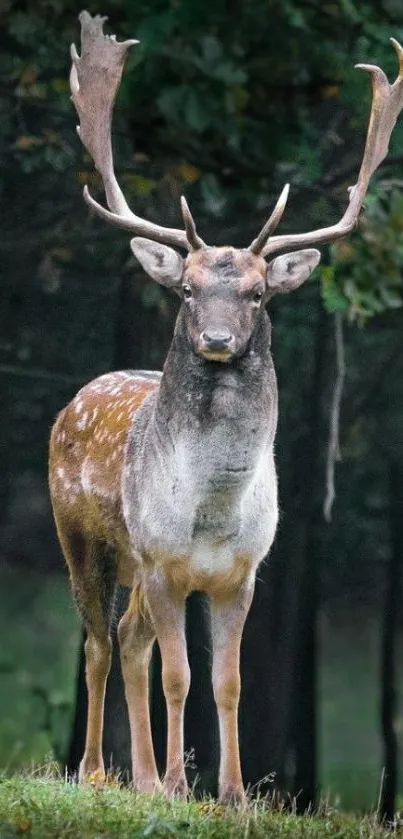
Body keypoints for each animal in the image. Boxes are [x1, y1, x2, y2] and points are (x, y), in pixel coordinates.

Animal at [49, 9, 403, 804]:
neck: (210, 512)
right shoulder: (161, 561)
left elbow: (229, 682)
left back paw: (143, 778)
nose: (215, 338)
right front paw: (185, 785)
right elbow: (180, 676)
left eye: (258, 293)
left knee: (128, 641)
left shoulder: (241, 573)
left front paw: (233, 792)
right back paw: (97, 771)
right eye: (186, 289)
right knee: (97, 643)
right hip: (83, 540)